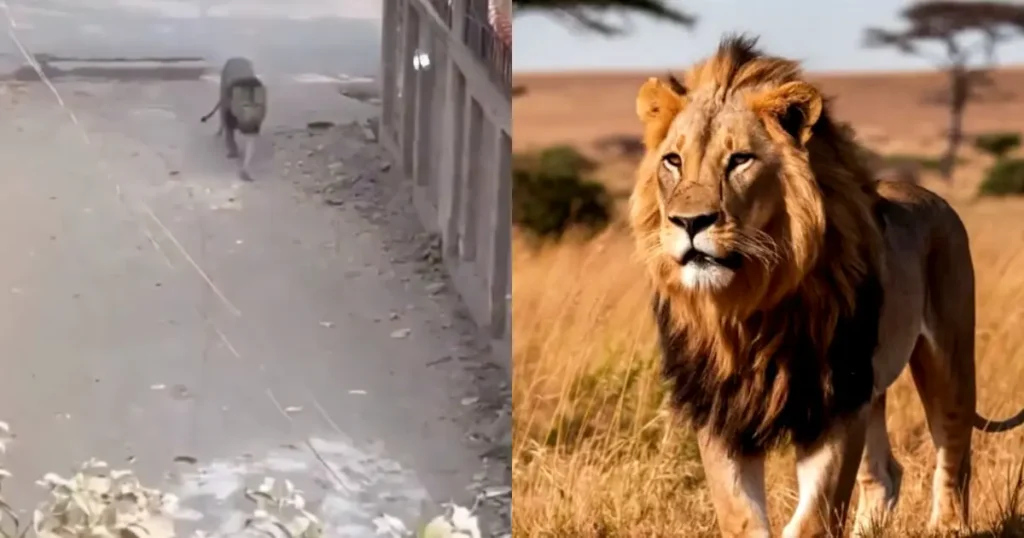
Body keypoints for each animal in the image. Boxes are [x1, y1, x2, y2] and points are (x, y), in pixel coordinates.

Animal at [629, 34, 1024, 538]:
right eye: (673, 161)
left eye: (739, 160)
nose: (690, 221)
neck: (749, 304)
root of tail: (928, 194)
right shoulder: (722, 408)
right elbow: (740, 514)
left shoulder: (834, 400)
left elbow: (814, 517)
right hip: (871, 390)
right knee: (884, 474)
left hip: (945, 358)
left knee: (954, 454)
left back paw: (947, 525)